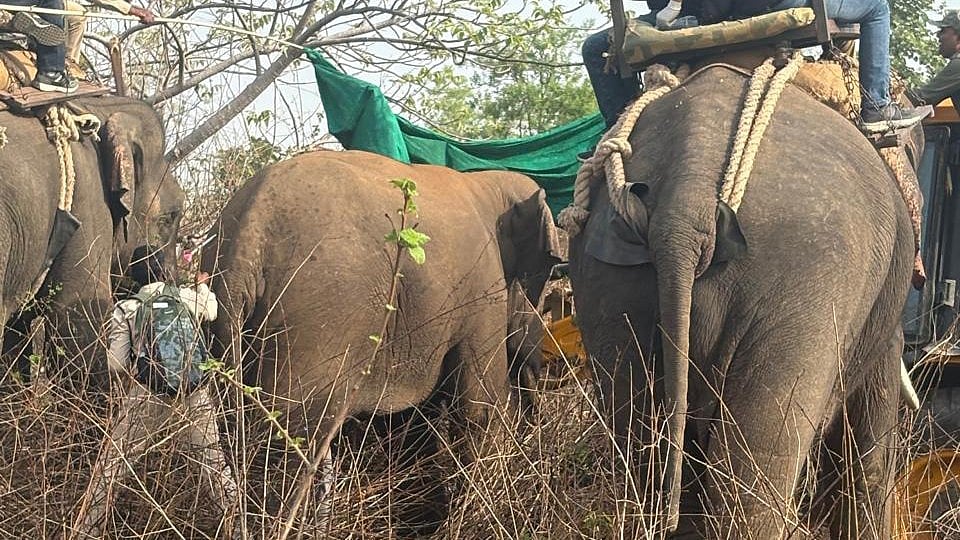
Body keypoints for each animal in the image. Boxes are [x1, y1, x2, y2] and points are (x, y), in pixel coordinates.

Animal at [202, 149, 561, 531]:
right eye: (547, 282)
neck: (485, 183)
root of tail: (248, 236)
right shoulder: (482, 290)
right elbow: (480, 409)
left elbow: (411, 421)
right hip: (319, 321)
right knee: (291, 436)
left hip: (223, 326)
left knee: (236, 427)